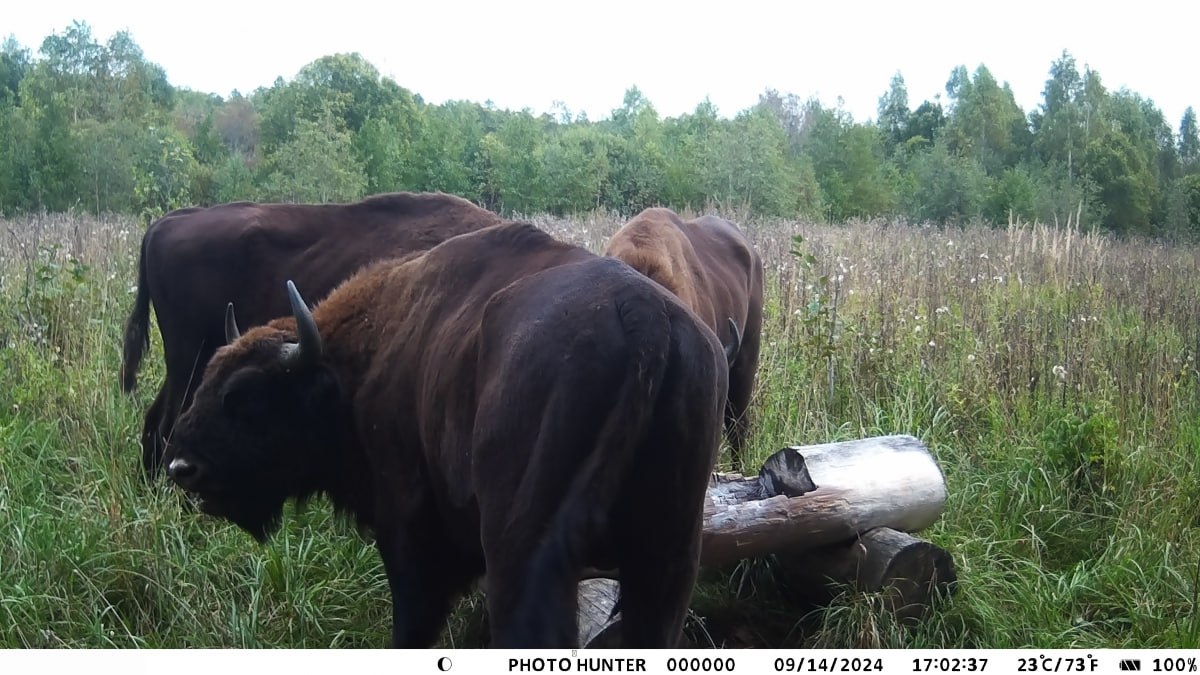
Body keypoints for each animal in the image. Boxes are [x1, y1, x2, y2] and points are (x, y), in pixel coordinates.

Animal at [163, 220, 724, 648]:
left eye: (245, 395)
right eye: (209, 377)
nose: (182, 467)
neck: (355, 366)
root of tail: (645, 320)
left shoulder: (408, 540)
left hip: (527, 558)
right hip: (668, 561)